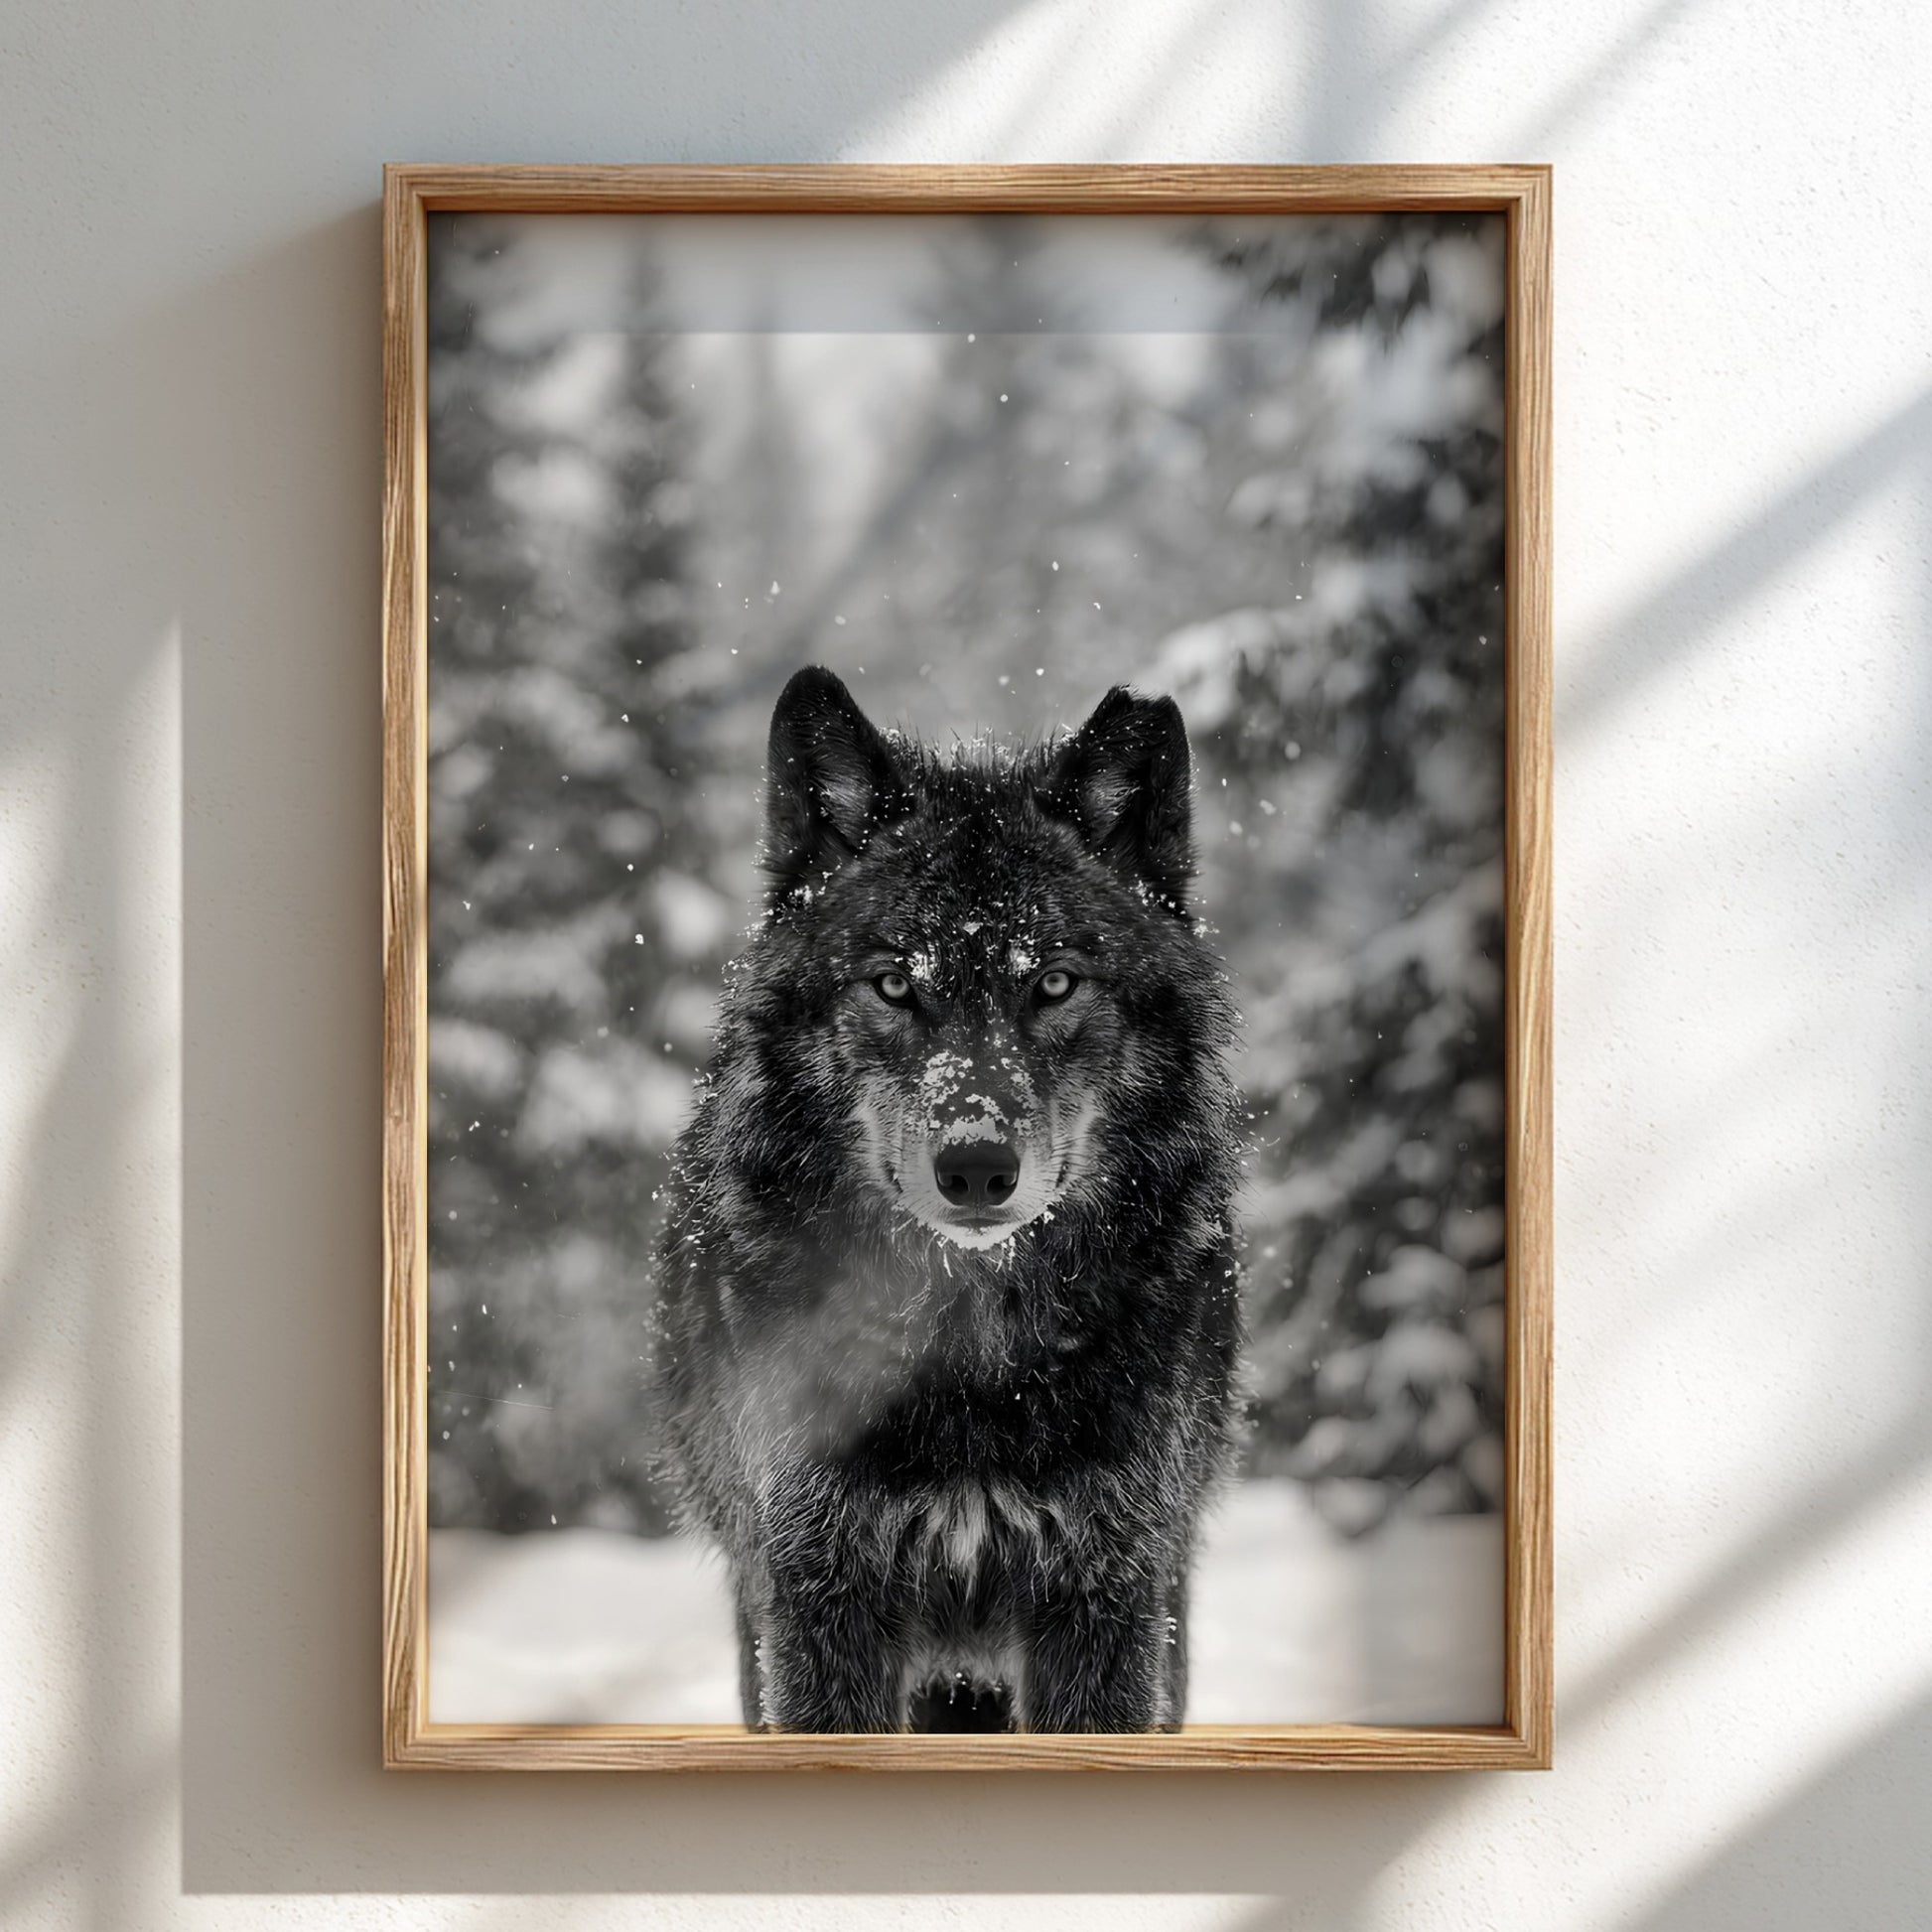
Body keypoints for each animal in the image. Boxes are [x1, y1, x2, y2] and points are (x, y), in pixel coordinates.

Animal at [651, 666, 1243, 1733]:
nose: (974, 1166)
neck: (972, 1353)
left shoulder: (1112, 1594)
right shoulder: (815, 1592)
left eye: (1055, 982)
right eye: (895, 984)